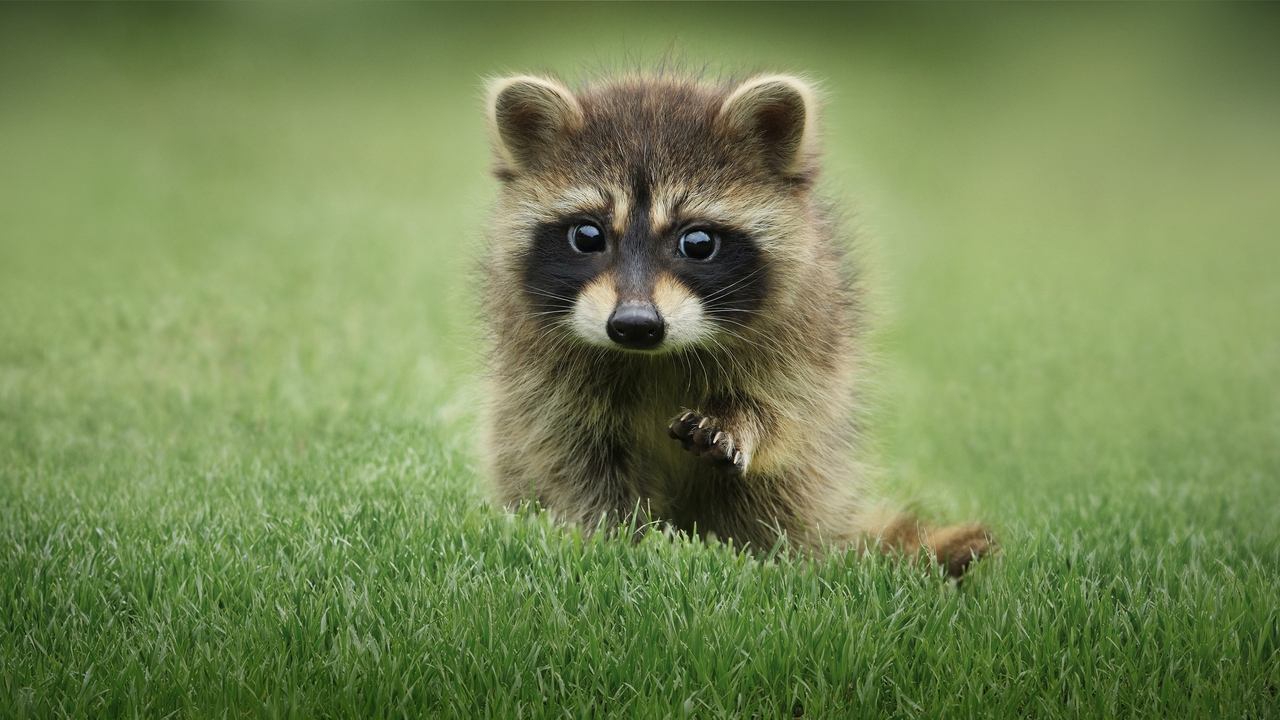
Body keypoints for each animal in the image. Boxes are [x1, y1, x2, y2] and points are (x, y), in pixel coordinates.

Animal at [481, 71, 988, 576]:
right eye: (587, 236)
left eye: (698, 242)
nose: (635, 325)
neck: (656, 356)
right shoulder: (541, 374)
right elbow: (571, 457)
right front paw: (616, 541)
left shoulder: (807, 333)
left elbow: (786, 412)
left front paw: (741, 420)